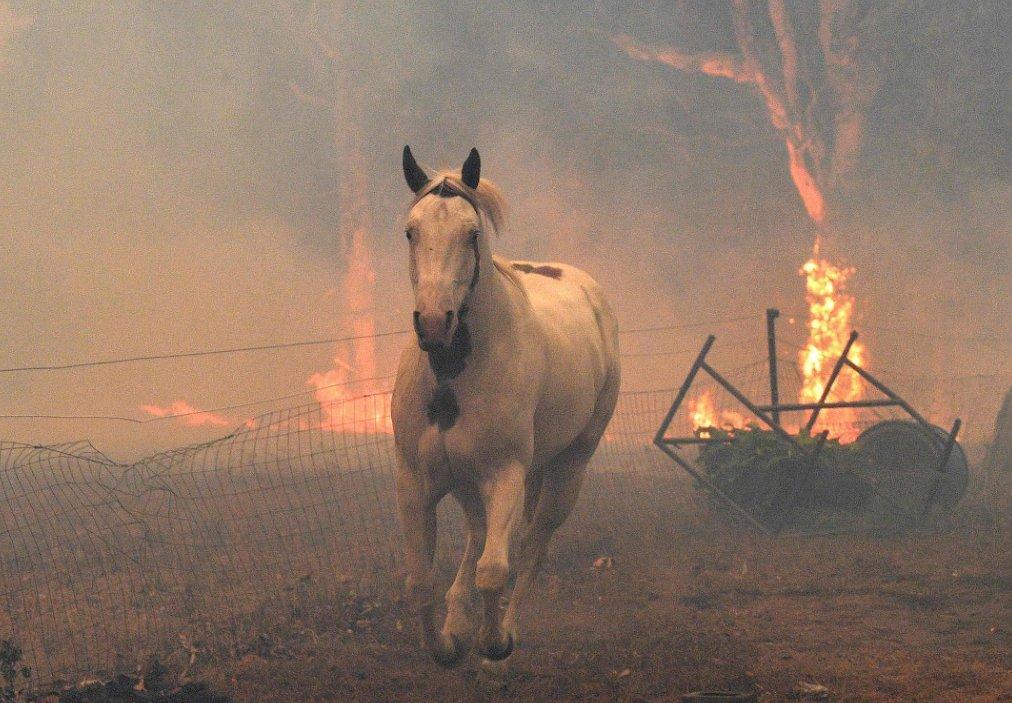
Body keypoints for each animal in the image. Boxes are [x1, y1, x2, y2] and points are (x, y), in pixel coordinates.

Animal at [390, 145, 619, 667]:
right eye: (412, 231)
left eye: (471, 234)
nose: (433, 323)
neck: (452, 376)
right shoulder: (416, 481)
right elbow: (419, 581)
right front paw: (446, 645)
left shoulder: (506, 474)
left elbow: (495, 569)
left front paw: (492, 642)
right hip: (470, 482)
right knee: (479, 536)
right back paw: (459, 619)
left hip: (568, 468)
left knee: (532, 546)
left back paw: (506, 631)